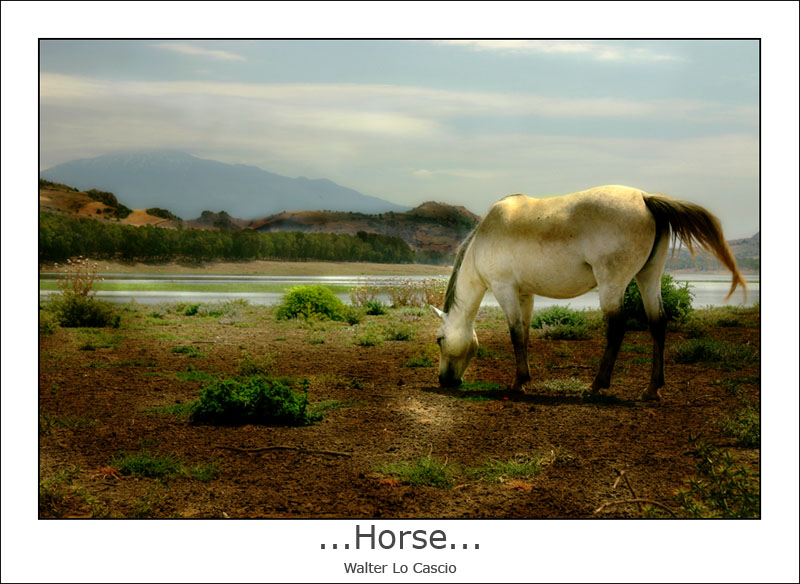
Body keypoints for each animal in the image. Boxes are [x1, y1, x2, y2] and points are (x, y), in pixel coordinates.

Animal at [429, 185, 746, 401]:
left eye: (439, 339)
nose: (446, 381)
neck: (484, 238)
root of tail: (645, 198)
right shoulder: (524, 294)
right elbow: (525, 334)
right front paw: (524, 378)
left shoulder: (504, 289)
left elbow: (516, 334)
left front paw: (518, 382)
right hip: (648, 278)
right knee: (658, 323)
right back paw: (652, 389)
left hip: (612, 285)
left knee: (617, 328)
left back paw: (597, 385)